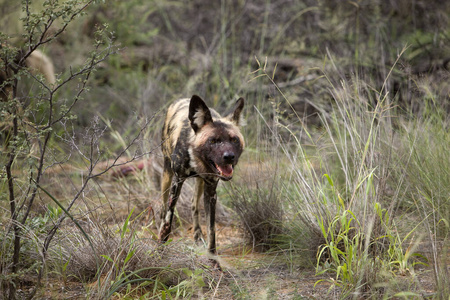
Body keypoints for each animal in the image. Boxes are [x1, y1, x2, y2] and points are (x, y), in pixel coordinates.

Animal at [157, 94, 243, 268]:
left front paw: (213, 260)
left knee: (194, 205)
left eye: (234, 140)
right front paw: (161, 249)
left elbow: (211, 230)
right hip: (167, 175)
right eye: (213, 141)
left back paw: (197, 236)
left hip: (200, 183)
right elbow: (169, 221)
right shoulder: (177, 182)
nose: (229, 156)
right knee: (163, 208)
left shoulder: (211, 191)